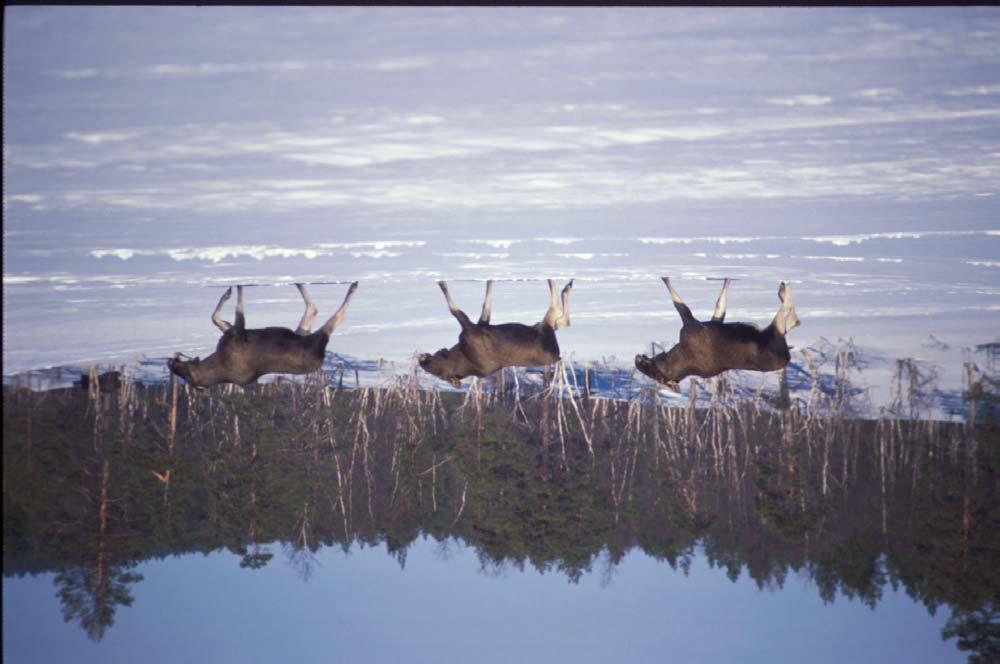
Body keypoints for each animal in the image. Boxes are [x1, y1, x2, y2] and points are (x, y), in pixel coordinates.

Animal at [168, 282, 360, 390]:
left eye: (177, 368)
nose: (170, 359)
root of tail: (320, 357)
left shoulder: (231, 330)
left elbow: (215, 317)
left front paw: (229, 292)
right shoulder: (237, 332)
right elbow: (235, 312)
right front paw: (235, 290)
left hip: (301, 334)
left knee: (313, 310)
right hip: (315, 339)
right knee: (332, 317)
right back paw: (352, 287)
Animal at [418, 278, 576, 386]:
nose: (422, 356)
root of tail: (557, 355)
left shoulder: (479, 324)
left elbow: (484, 304)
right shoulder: (470, 328)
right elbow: (455, 310)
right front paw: (442, 282)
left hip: (546, 326)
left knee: (563, 320)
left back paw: (565, 287)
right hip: (546, 326)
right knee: (559, 312)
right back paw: (562, 286)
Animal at [636, 278, 800, 392]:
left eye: (646, 366)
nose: (637, 358)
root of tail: (787, 356)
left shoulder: (708, 320)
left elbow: (719, 303)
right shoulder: (691, 324)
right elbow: (679, 304)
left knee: (789, 318)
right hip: (775, 335)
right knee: (787, 314)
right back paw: (784, 291)